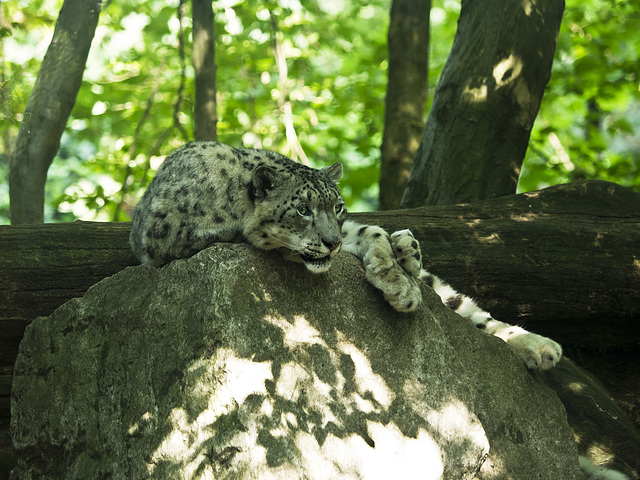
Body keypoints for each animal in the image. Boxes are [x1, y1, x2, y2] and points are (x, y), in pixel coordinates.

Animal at [130, 141, 560, 370]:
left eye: (337, 207)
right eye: (302, 209)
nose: (332, 243)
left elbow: (371, 231)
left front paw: (398, 276)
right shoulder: (165, 237)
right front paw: (401, 271)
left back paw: (540, 346)